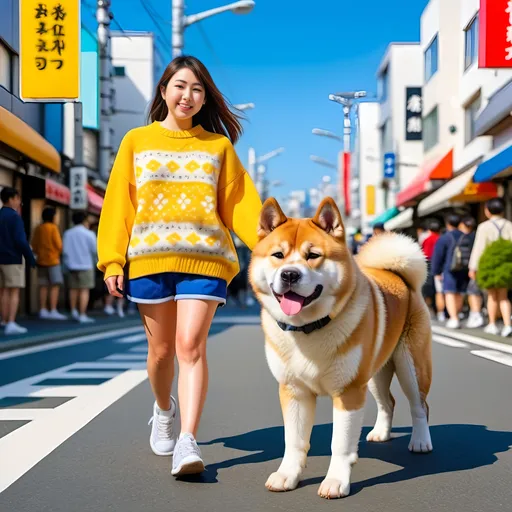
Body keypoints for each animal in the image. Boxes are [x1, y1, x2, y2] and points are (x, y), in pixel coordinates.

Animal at [248, 197, 432, 500]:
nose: (289, 274)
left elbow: (340, 444)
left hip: (410, 367)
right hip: (374, 375)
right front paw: (287, 475)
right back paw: (381, 433)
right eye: (278, 255)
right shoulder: (294, 391)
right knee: (388, 402)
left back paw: (420, 441)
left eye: (313, 255)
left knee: (420, 405)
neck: (308, 329)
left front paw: (335, 482)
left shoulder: (348, 392)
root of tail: (398, 276)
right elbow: (294, 441)